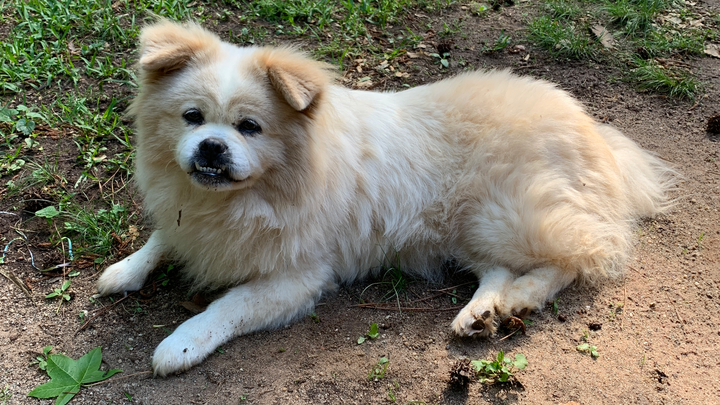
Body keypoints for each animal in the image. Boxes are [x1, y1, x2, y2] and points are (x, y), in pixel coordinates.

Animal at [97, 21, 673, 377]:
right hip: (466, 231)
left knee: (582, 255)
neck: (252, 194)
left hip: (504, 218)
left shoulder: (295, 279)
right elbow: (161, 239)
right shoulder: (188, 222)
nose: (211, 147)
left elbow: (225, 308)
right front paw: (124, 270)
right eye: (192, 118)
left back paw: (522, 297)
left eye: (250, 127)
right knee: (497, 271)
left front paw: (180, 344)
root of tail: (590, 130)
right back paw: (480, 314)